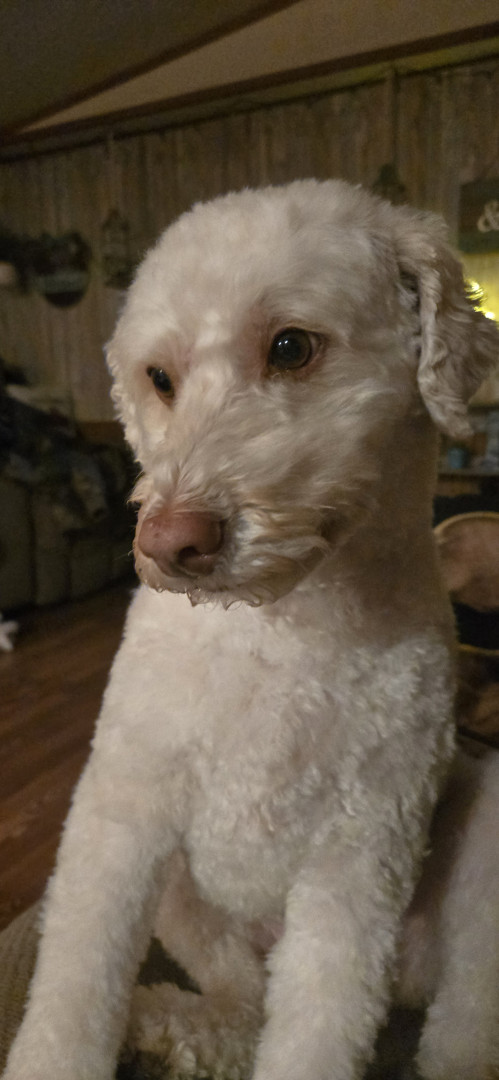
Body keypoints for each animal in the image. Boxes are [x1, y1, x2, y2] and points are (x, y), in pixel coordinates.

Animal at [4, 180, 499, 1080]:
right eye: (159, 378)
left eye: (292, 347)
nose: (167, 543)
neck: (276, 632)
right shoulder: (117, 812)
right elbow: (73, 987)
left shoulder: (358, 861)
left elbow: (315, 1033)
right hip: (183, 901)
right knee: (240, 1007)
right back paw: (165, 1023)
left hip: (478, 848)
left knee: (454, 1033)